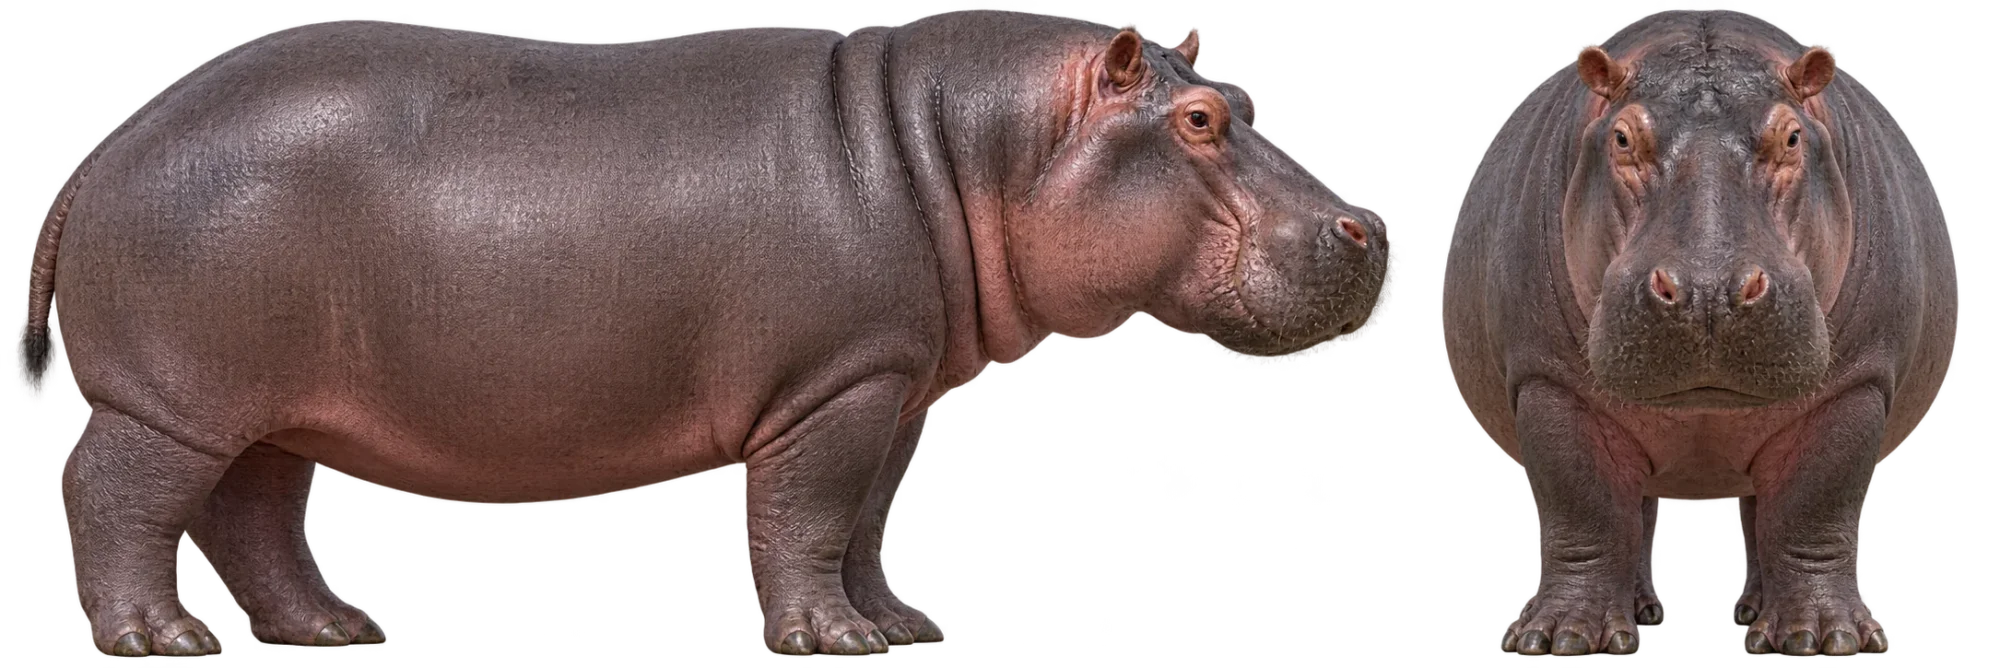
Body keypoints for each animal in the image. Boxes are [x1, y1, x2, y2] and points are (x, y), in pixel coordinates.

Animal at [19, 7, 1399, 659]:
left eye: (1244, 97)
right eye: (1200, 123)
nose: (1372, 226)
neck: (969, 143)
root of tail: (104, 147)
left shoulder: (890, 389)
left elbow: (866, 523)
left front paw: (897, 625)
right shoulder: (832, 390)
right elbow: (806, 517)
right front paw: (830, 641)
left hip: (275, 405)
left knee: (255, 515)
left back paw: (333, 628)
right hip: (172, 399)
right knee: (110, 491)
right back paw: (160, 641)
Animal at [1440, 7, 1958, 658]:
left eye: (1793, 137)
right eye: (1621, 138)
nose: (1707, 289)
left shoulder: (1856, 383)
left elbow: (1813, 508)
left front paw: (1823, 638)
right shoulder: (1546, 379)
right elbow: (1584, 509)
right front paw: (1560, 639)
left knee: (1761, 513)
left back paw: (1755, 614)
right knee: (1635, 515)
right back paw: (1641, 611)